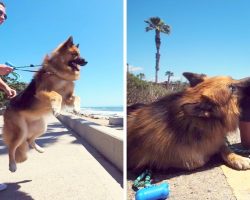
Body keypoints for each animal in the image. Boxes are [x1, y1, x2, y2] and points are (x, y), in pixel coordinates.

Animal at [2, 36, 87, 172]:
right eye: (74, 54)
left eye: (79, 54)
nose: (86, 61)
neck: (59, 73)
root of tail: (8, 106)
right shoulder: (43, 92)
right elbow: (56, 95)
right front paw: (56, 108)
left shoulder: (67, 97)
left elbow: (77, 97)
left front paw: (77, 109)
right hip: (20, 132)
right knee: (12, 147)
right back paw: (12, 165)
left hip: (42, 127)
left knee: (30, 140)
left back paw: (39, 149)